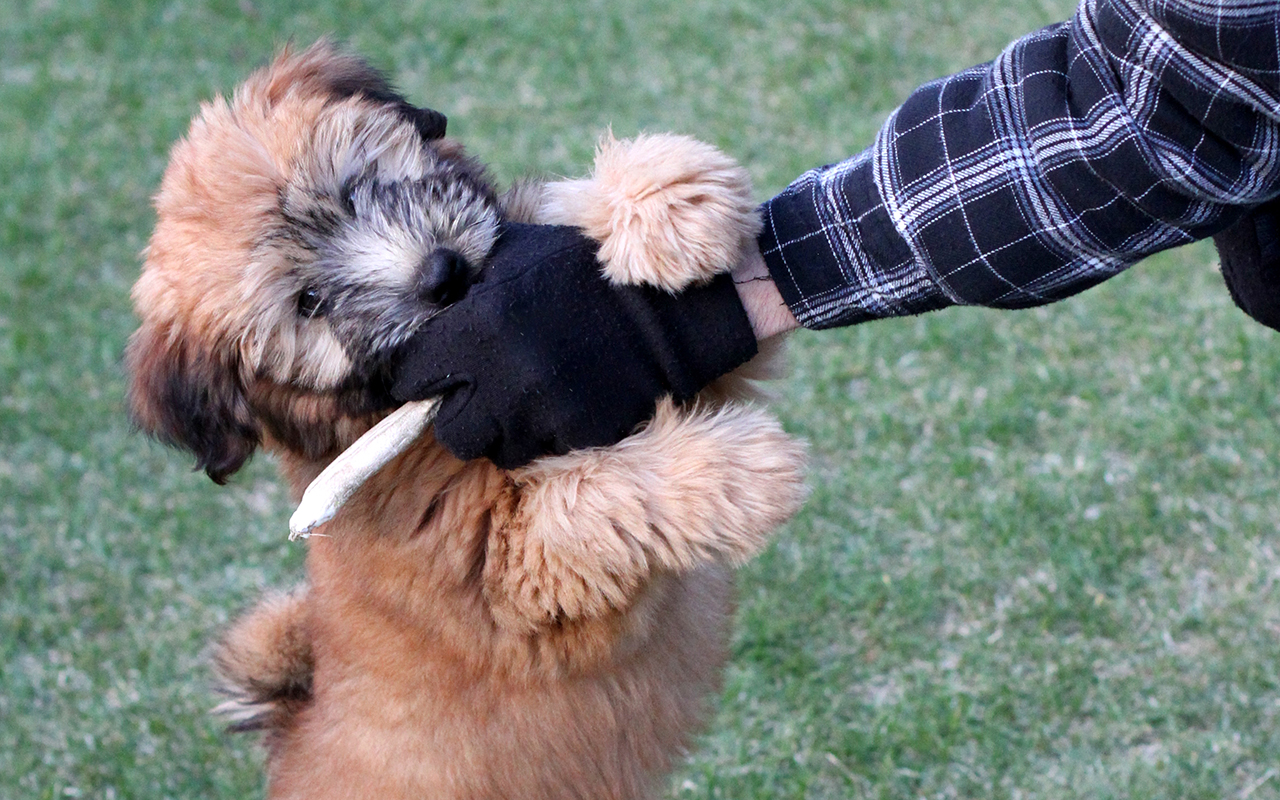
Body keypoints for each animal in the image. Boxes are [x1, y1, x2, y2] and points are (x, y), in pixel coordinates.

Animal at [124, 42, 803, 798]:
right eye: (309, 303)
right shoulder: (513, 569)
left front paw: (667, 205)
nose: (441, 276)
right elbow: (593, 498)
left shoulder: (646, 363)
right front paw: (742, 470)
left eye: (355, 189)